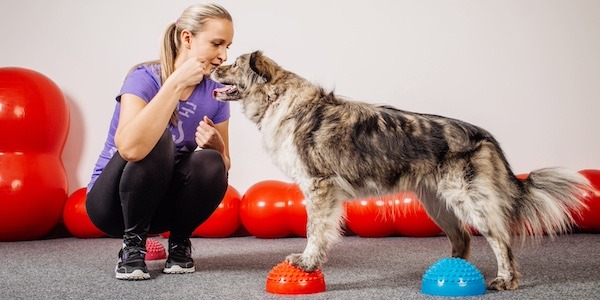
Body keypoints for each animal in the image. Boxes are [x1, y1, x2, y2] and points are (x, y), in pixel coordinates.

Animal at [210, 51, 592, 290]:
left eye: (234, 63)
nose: (213, 67)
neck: (279, 98)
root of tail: (484, 136)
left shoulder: (319, 187)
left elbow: (315, 231)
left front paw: (306, 262)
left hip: (469, 199)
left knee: (501, 239)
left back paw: (505, 280)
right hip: (437, 203)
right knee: (463, 238)